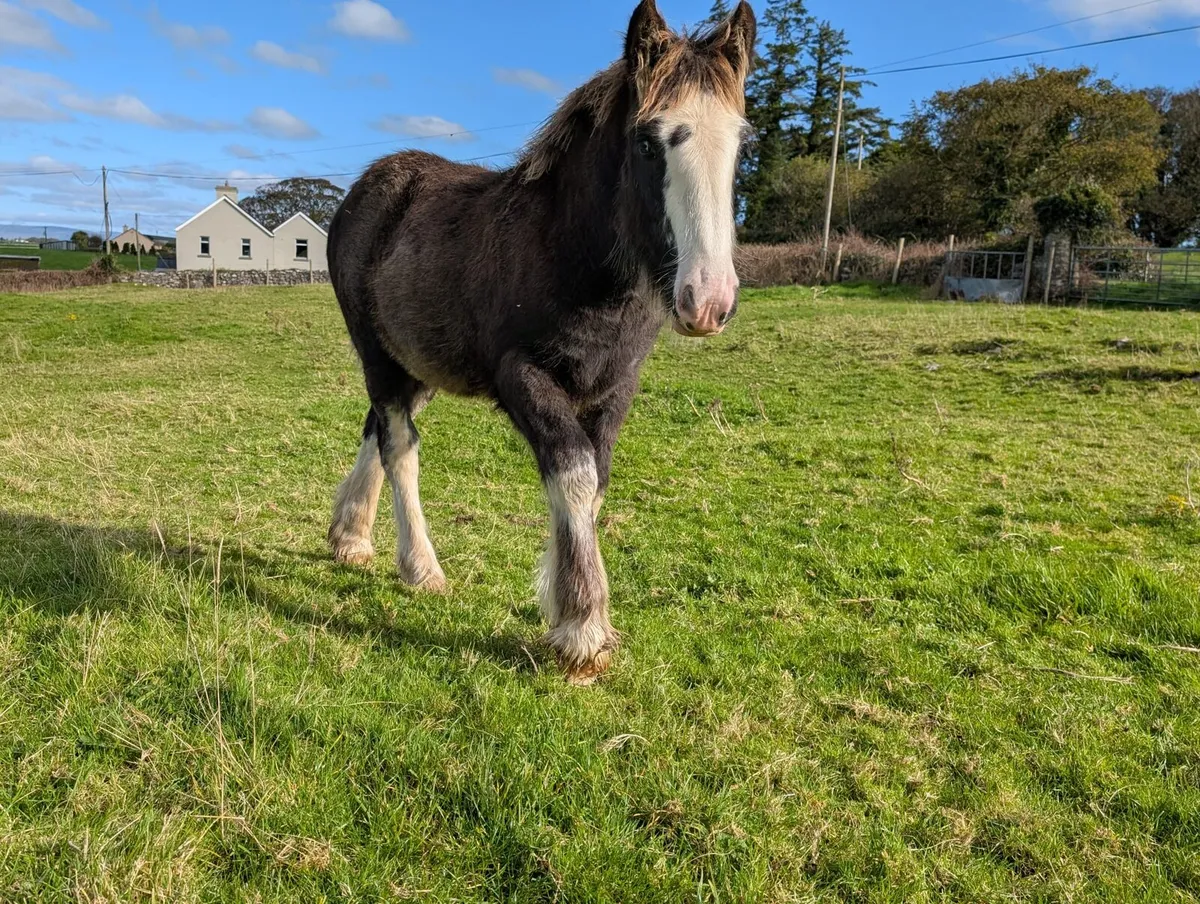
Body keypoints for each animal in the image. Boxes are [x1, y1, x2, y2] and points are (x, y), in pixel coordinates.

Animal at [325, 0, 756, 685]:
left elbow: (593, 479)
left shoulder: (615, 386)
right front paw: (582, 629)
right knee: (399, 443)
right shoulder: (522, 377)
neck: (569, 254)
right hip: (375, 352)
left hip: (415, 360)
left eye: (741, 143)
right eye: (647, 141)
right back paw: (419, 567)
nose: (708, 301)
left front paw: (563, 601)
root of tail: (369, 186)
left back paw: (349, 536)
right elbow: (573, 473)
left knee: (378, 427)